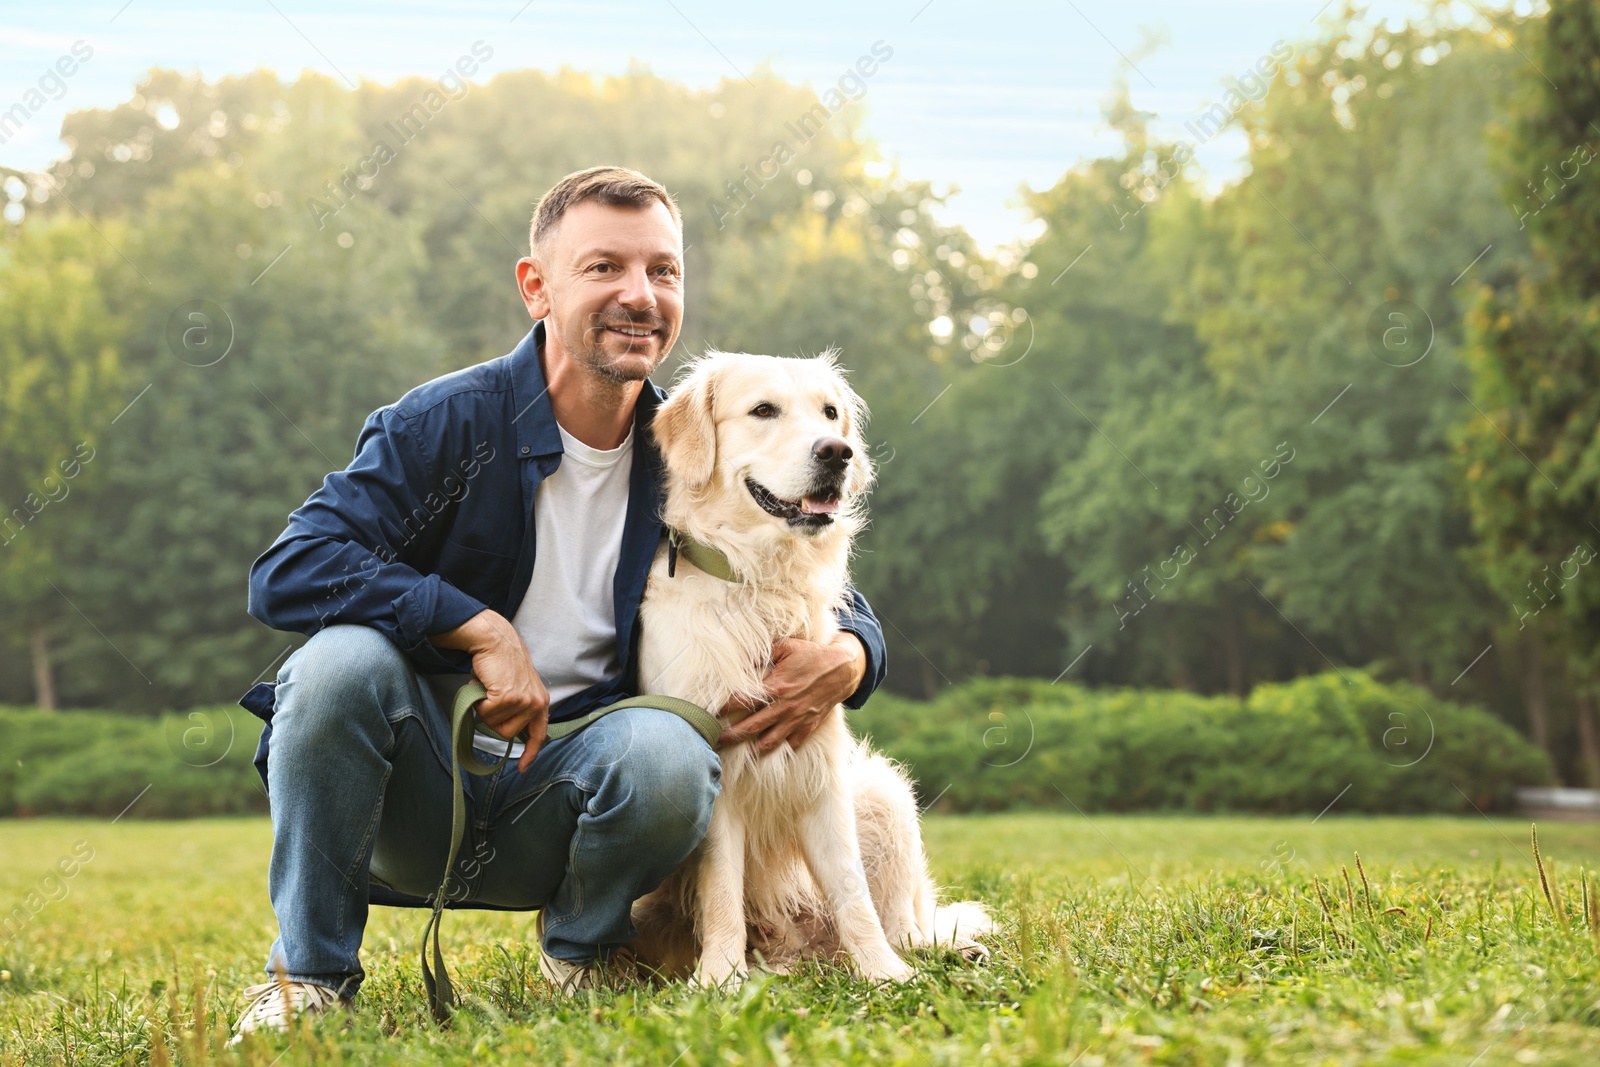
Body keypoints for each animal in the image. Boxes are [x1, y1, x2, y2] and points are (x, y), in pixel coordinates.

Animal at [633, 355, 985, 991]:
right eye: (763, 410)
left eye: (829, 412)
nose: (837, 452)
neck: (760, 581)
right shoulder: (718, 769)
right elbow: (721, 891)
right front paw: (719, 979)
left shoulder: (821, 769)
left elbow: (852, 892)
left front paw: (885, 975)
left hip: (883, 791)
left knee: (906, 922)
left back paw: (937, 954)